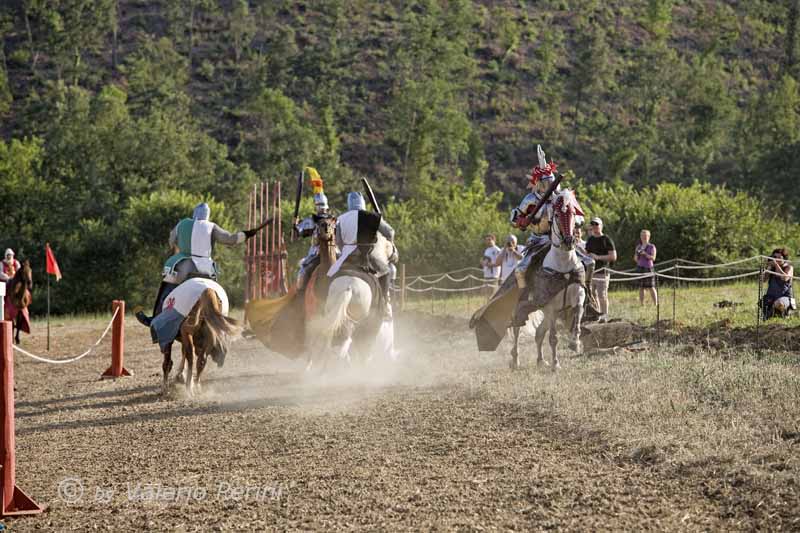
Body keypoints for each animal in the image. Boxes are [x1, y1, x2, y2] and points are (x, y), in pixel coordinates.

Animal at [512, 190, 588, 370]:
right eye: (557, 215)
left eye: (573, 213)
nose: (569, 241)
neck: (563, 264)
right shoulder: (550, 307)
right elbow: (553, 338)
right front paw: (556, 364)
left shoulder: (578, 296)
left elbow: (578, 315)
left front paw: (575, 343)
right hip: (526, 305)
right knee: (517, 327)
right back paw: (515, 360)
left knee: (539, 332)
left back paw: (540, 360)